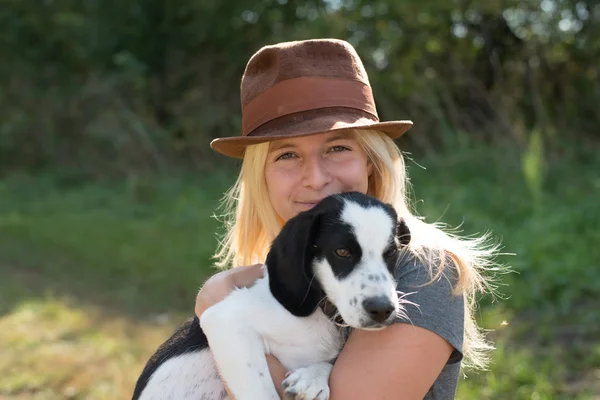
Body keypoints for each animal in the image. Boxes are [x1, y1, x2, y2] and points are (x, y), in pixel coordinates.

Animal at [132, 191, 412, 400]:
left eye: (391, 252)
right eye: (342, 252)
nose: (382, 309)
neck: (321, 315)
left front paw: (312, 378)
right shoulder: (224, 320)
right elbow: (262, 391)